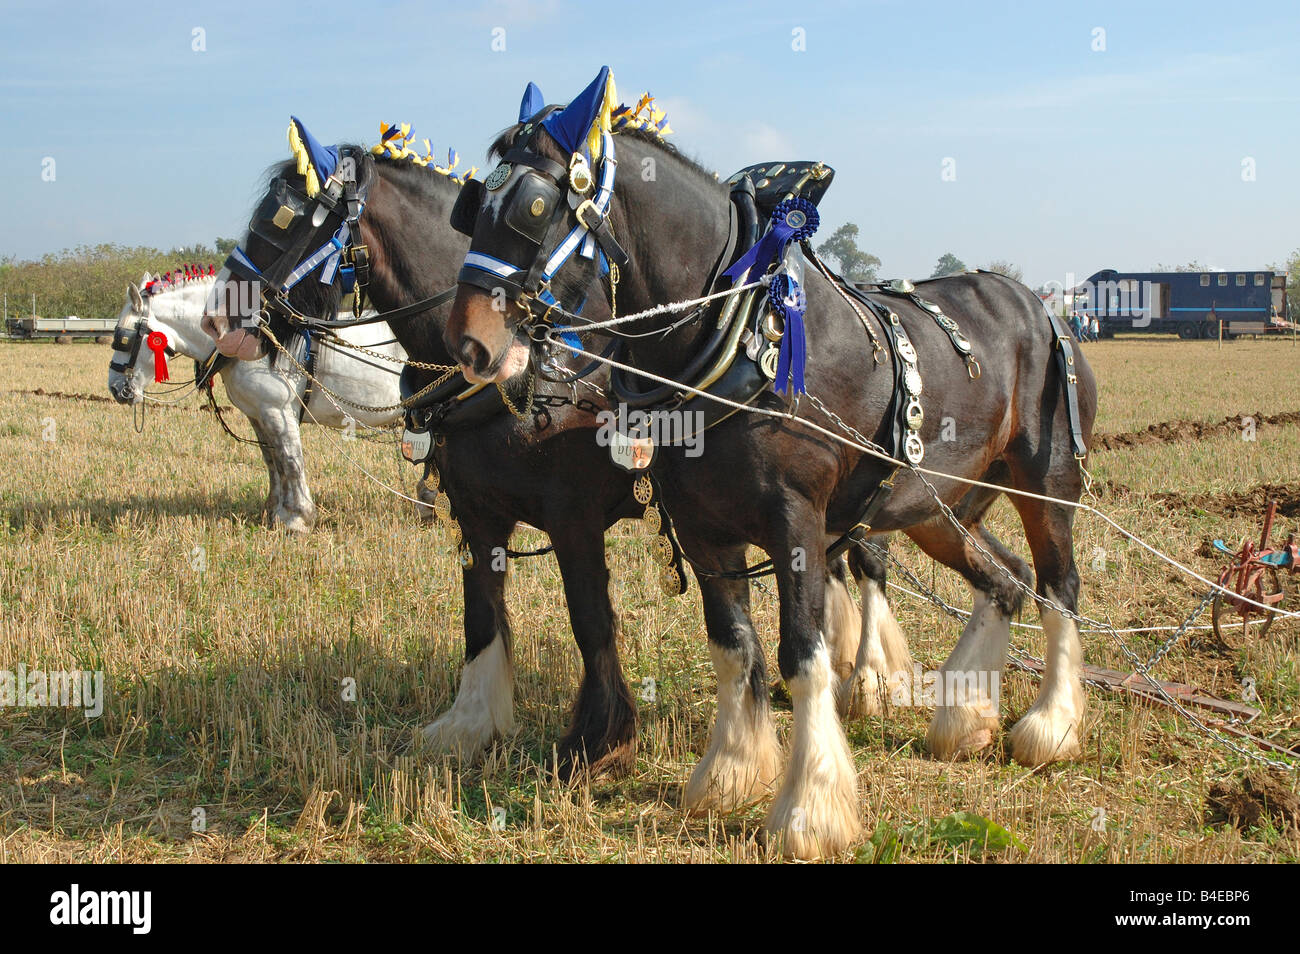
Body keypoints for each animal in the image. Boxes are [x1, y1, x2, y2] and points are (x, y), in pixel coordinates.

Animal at [111, 272, 416, 535]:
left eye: (123, 338)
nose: (116, 388)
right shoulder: (258, 414)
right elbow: (273, 461)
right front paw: (275, 511)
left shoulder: (278, 410)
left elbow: (291, 461)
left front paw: (298, 518)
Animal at [444, 65, 1097, 857]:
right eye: (471, 204)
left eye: (533, 206)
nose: (467, 344)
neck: (735, 332)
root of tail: (1038, 304)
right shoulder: (702, 528)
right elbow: (733, 646)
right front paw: (729, 774)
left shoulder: (797, 523)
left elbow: (802, 656)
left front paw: (809, 812)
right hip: (933, 509)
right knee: (1006, 581)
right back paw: (964, 718)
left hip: (1048, 482)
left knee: (1060, 585)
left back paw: (1050, 728)